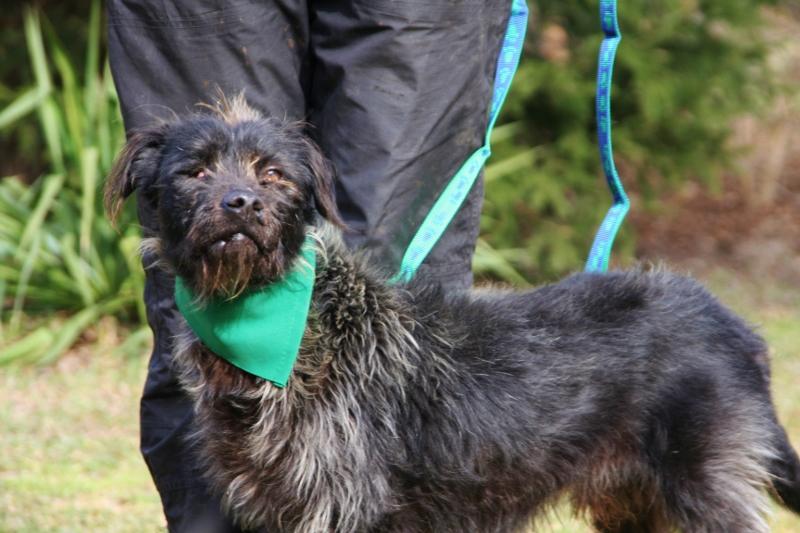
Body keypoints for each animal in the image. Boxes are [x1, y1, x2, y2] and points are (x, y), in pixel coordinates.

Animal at [106, 96, 800, 532]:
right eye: (195, 172)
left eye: (273, 175)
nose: (240, 204)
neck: (285, 325)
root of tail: (730, 323)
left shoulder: (341, 503)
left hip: (703, 488)